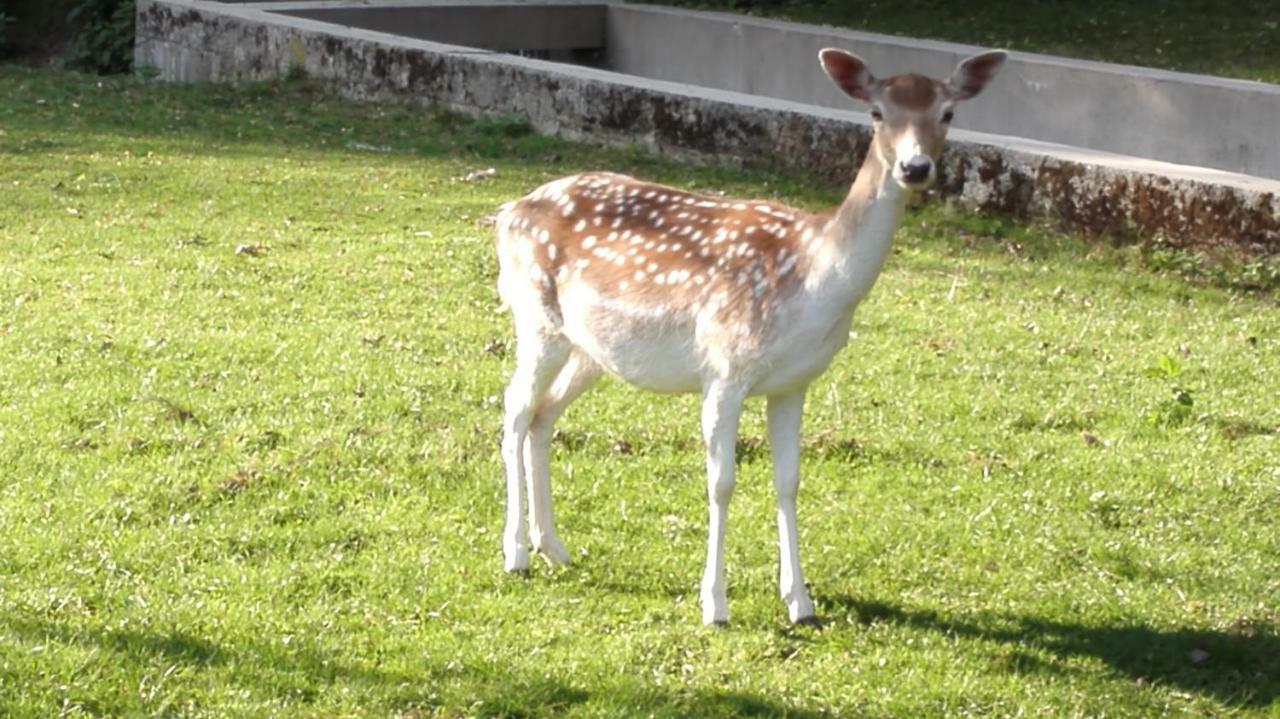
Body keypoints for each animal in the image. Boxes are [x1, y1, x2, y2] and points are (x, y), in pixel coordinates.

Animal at [494, 46, 1003, 621]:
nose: (915, 167)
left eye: (948, 113)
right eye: (876, 112)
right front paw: (714, 603)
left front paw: (799, 600)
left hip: (591, 349)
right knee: (514, 409)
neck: (811, 277)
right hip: (536, 316)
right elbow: (722, 483)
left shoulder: (794, 382)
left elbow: (789, 481)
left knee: (543, 415)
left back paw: (553, 547)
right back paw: (516, 552)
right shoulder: (724, 367)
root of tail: (507, 214)